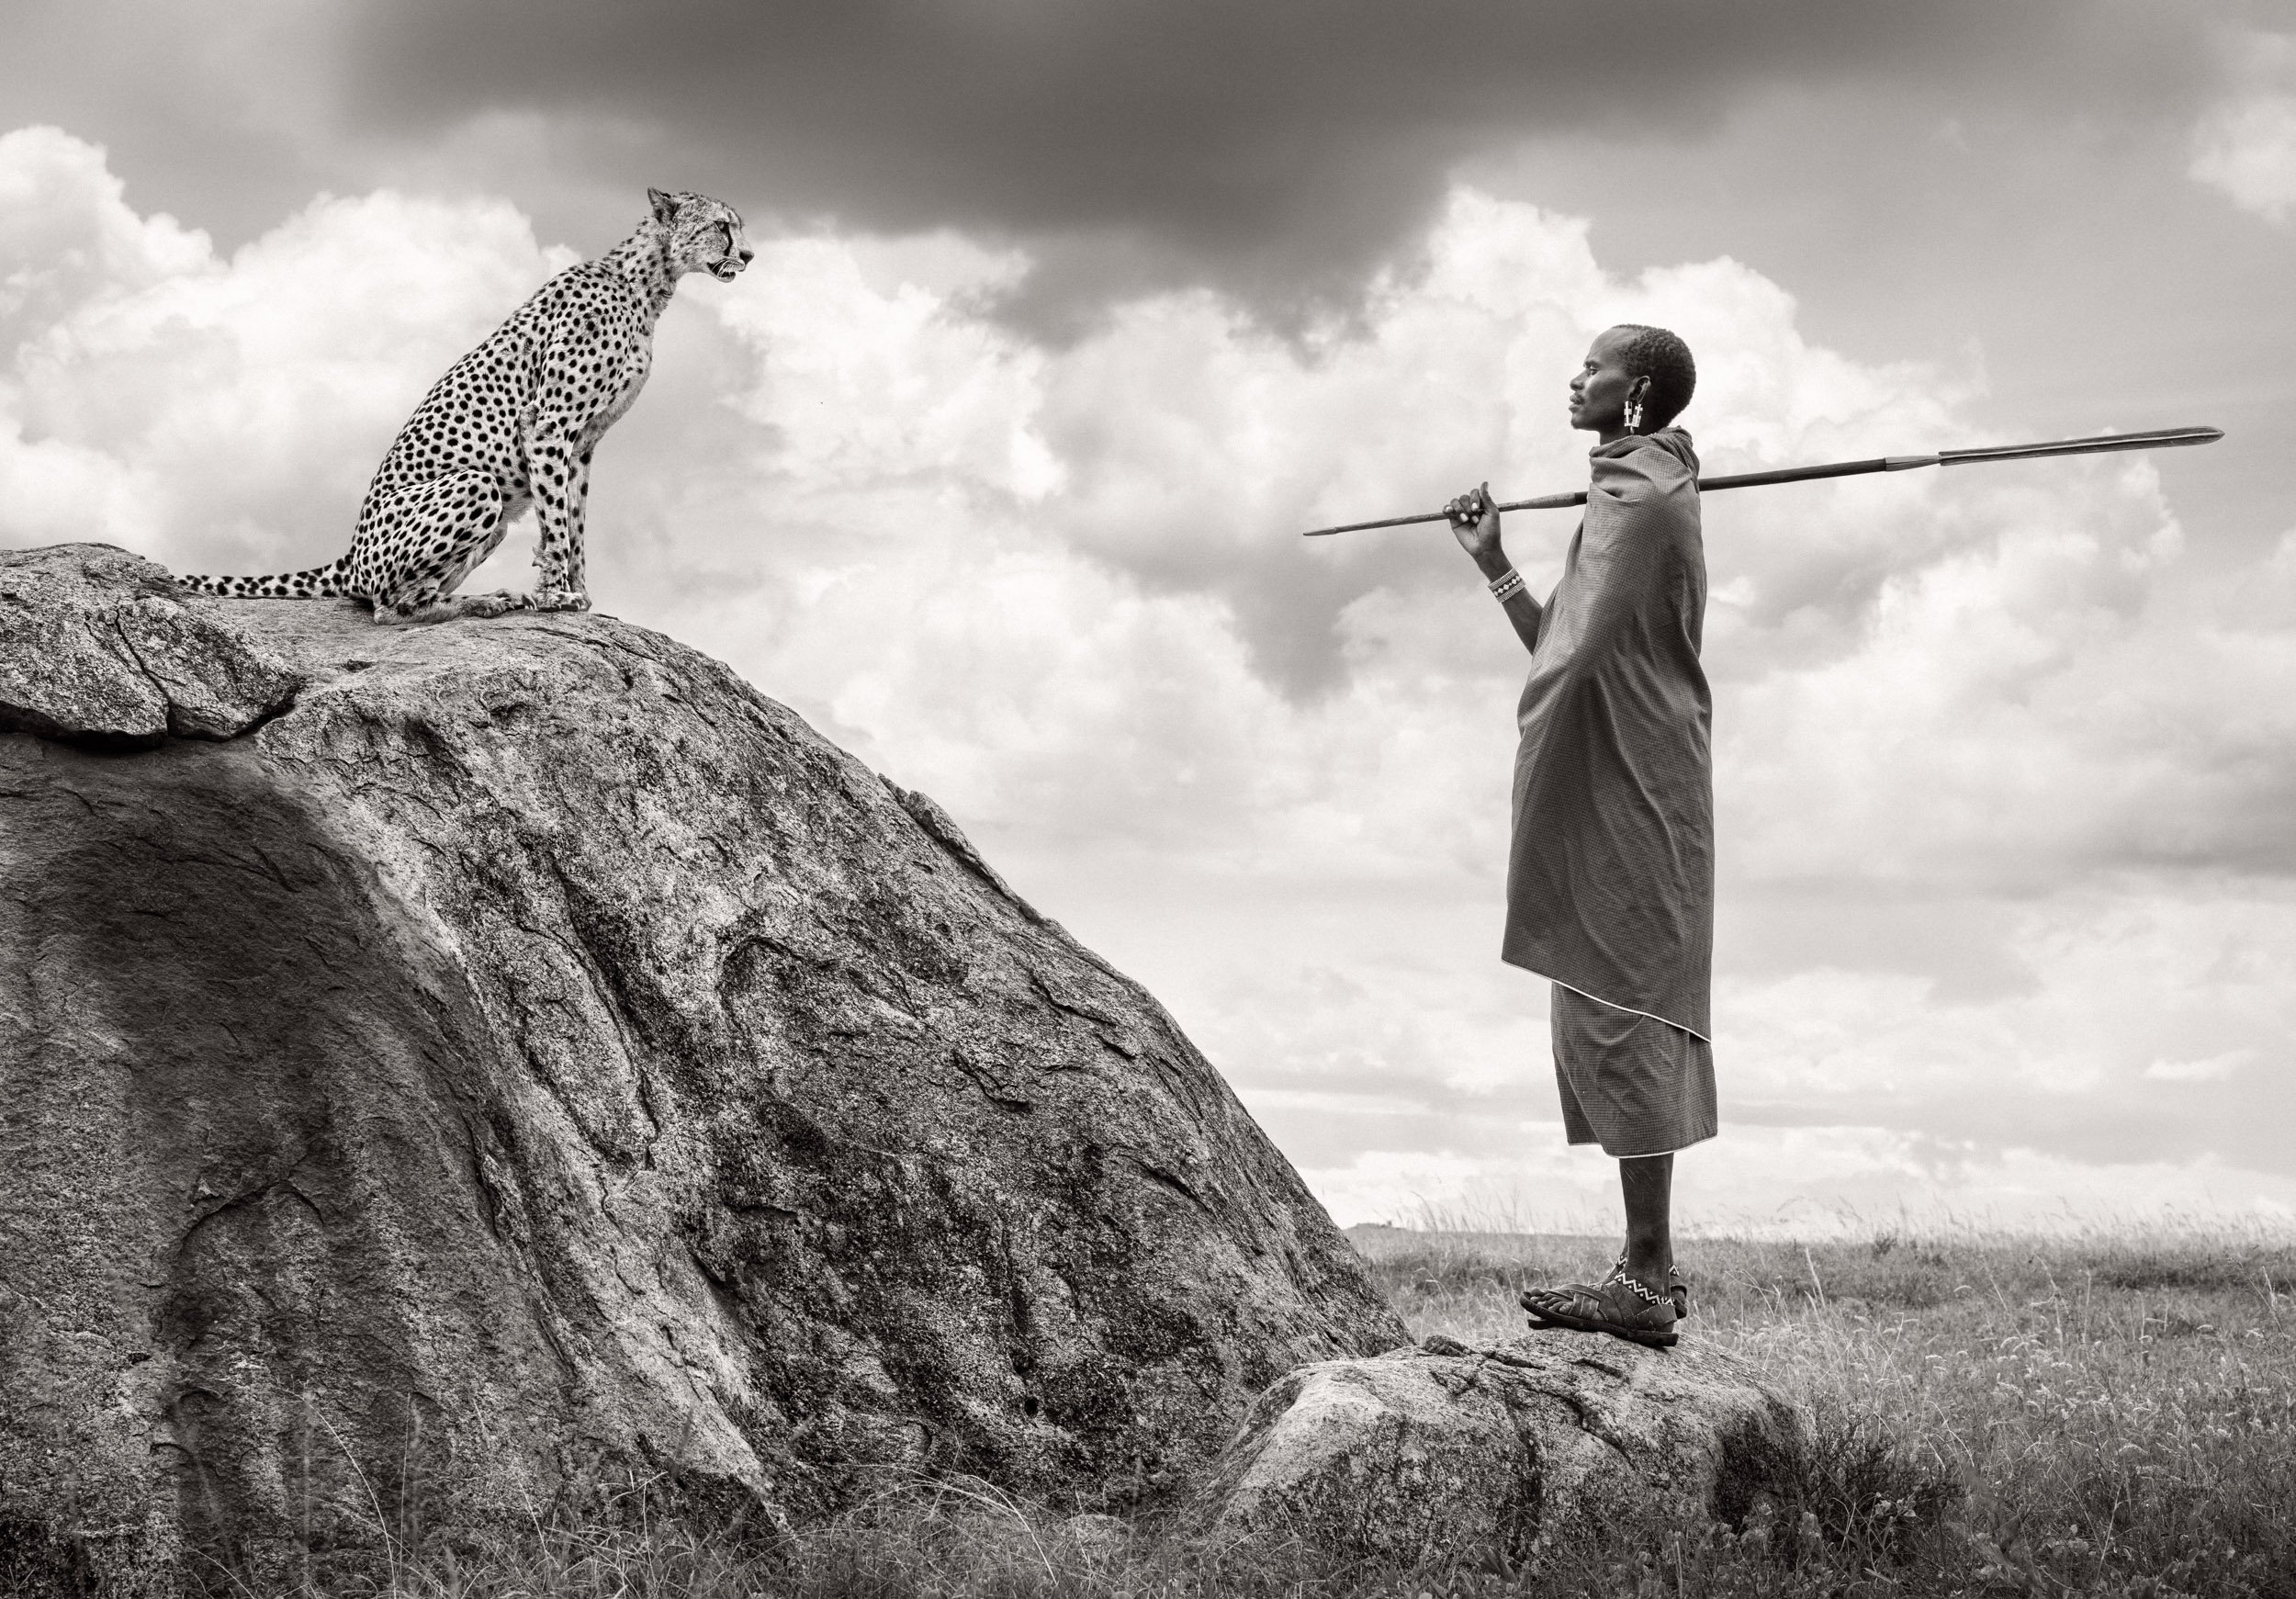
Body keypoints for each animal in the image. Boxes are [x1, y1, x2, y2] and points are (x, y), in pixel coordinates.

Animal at [176, 187, 752, 623]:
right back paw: (483, 602)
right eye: (723, 226)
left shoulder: (585, 442)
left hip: (492, 521)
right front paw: (558, 596)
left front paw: (581, 594)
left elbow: (576, 518)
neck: (643, 284)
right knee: (390, 607)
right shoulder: (550, 428)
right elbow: (557, 524)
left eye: (738, 228)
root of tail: (351, 555)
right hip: (477, 485)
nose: (748, 256)